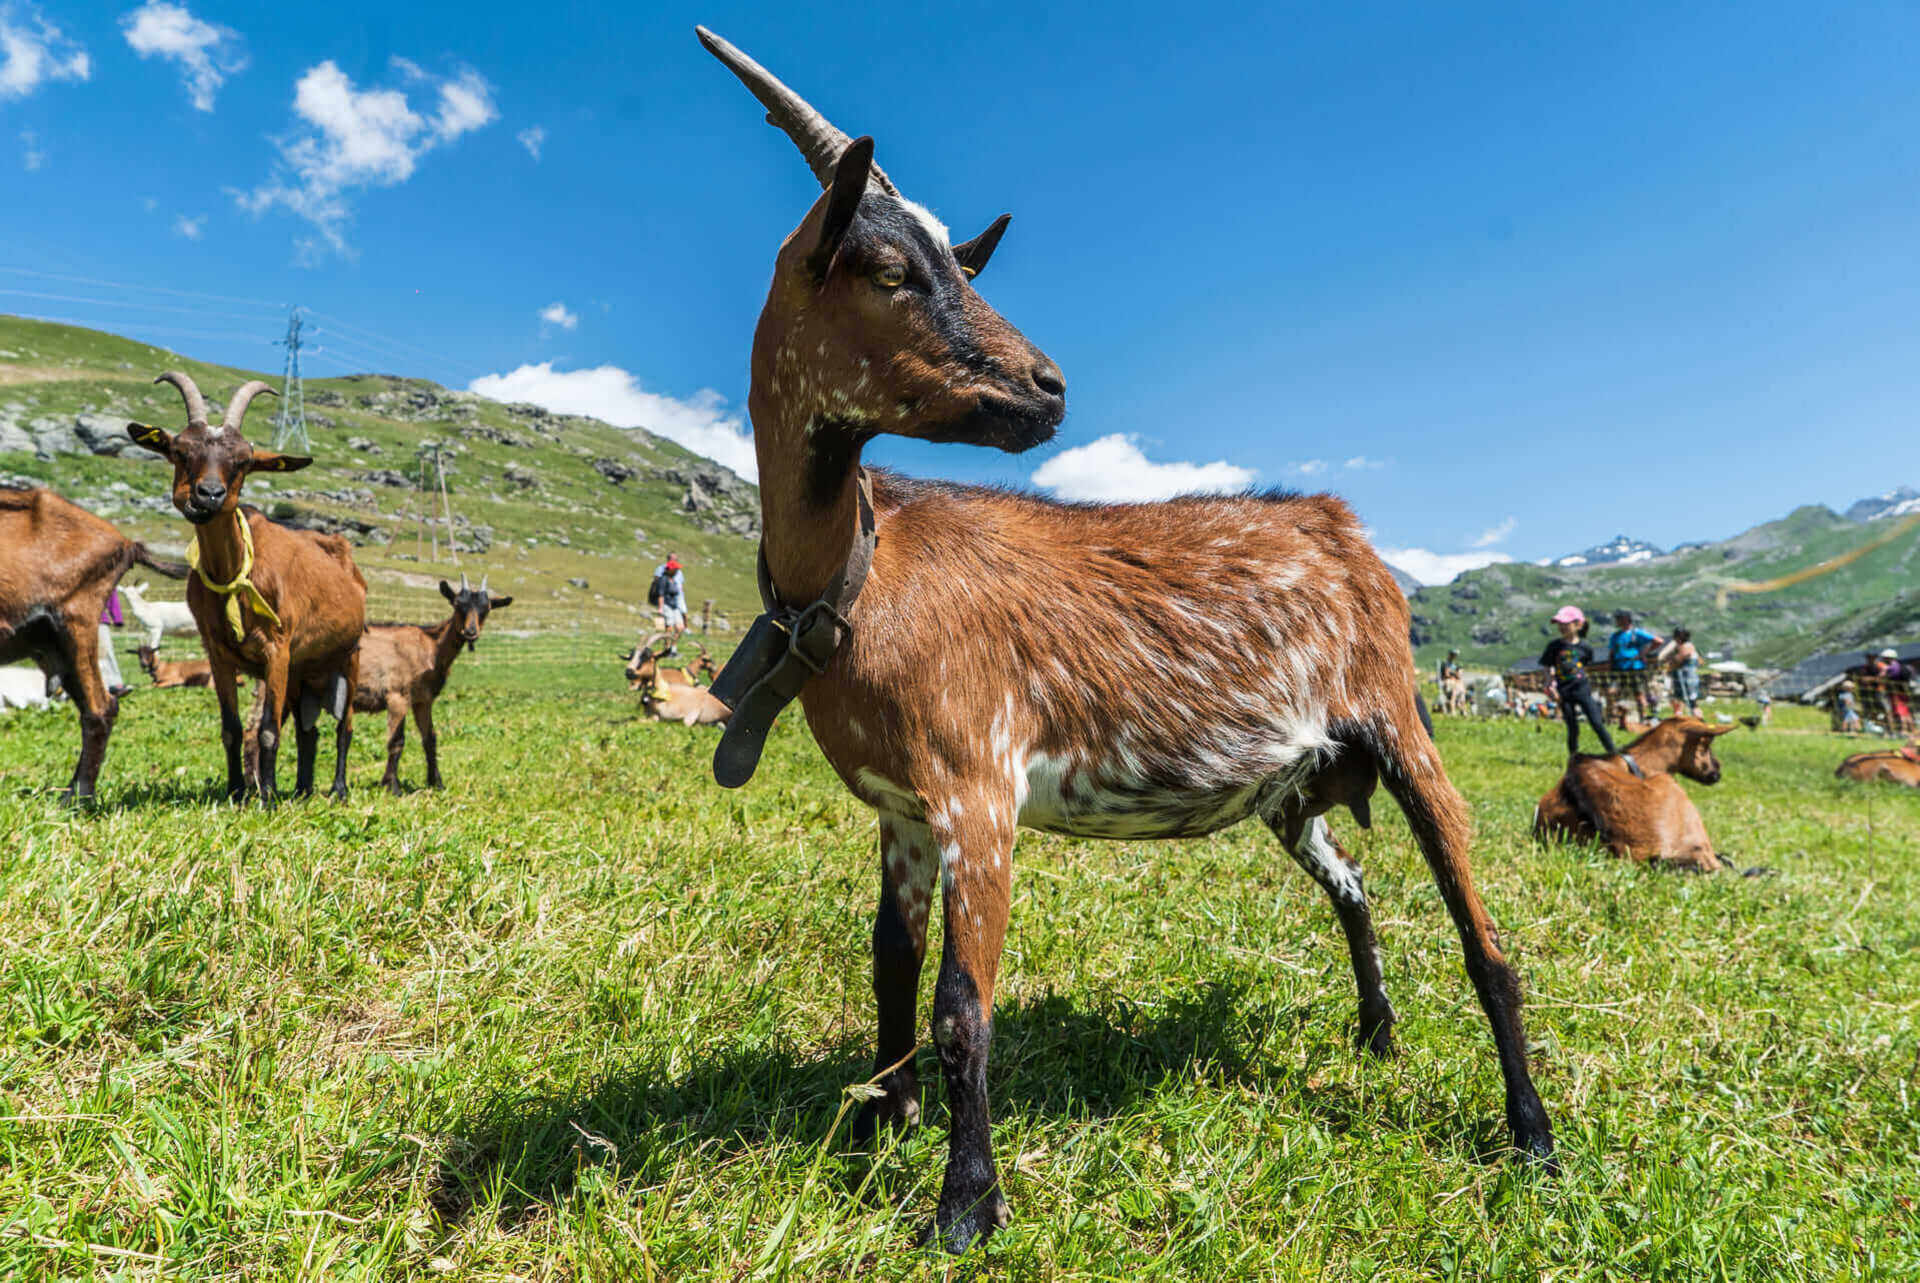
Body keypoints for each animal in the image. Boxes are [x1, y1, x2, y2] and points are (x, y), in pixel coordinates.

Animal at [128, 370, 370, 802]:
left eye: (243, 461)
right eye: (180, 451)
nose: (208, 495)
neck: (235, 575)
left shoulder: (278, 649)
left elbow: (269, 730)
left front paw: (267, 797)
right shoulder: (218, 655)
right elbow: (233, 729)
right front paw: (238, 791)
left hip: (349, 655)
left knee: (344, 726)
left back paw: (337, 789)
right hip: (303, 671)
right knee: (308, 731)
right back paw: (302, 789)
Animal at [355, 572, 514, 791]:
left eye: (487, 608)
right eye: (457, 604)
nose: (470, 632)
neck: (430, 648)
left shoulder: (423, 700)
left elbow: (430, 738)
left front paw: (436, 783)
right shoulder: (397, 696)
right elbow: (396, 741)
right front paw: (391, 786)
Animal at [698, 30, 1551, 1252]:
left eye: (962, 265)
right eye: (893, 270)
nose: (1047, 388)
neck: (864, 569)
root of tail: (1337, 520)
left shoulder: (978, 787)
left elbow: (961, 1007)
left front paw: (966, 1204)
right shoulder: (902, 807)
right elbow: (889, 965)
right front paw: (878, 1124)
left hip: (1399, 717)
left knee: (1487, 941)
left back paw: (1531, 1134)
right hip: (1295, 784)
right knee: (1352, 886)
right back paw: (1376, 1032)